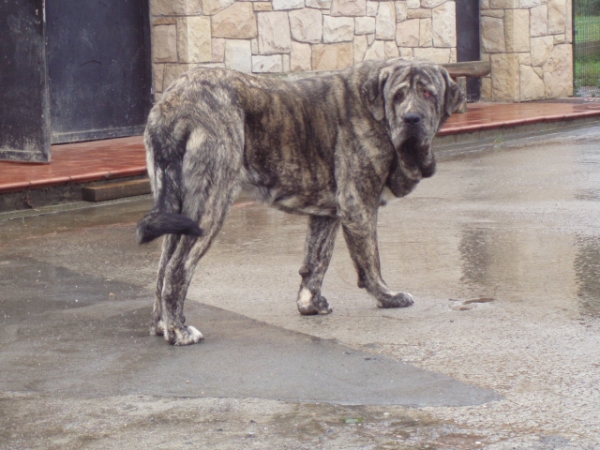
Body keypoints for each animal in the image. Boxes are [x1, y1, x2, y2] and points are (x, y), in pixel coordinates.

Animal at [136, 58, 464, 346]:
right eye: (398, 96)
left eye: (428, 93)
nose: (412, 119)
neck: (375, 111)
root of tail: (173, 100)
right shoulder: (358, 207)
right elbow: (370, 262)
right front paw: (388, 297)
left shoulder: (328, 213)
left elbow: (316, 260)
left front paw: (310, 303)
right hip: (210, 204)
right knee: (177, 269)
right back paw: (179, 331)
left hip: (177, 209)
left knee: (162, 270)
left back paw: (163, 324)